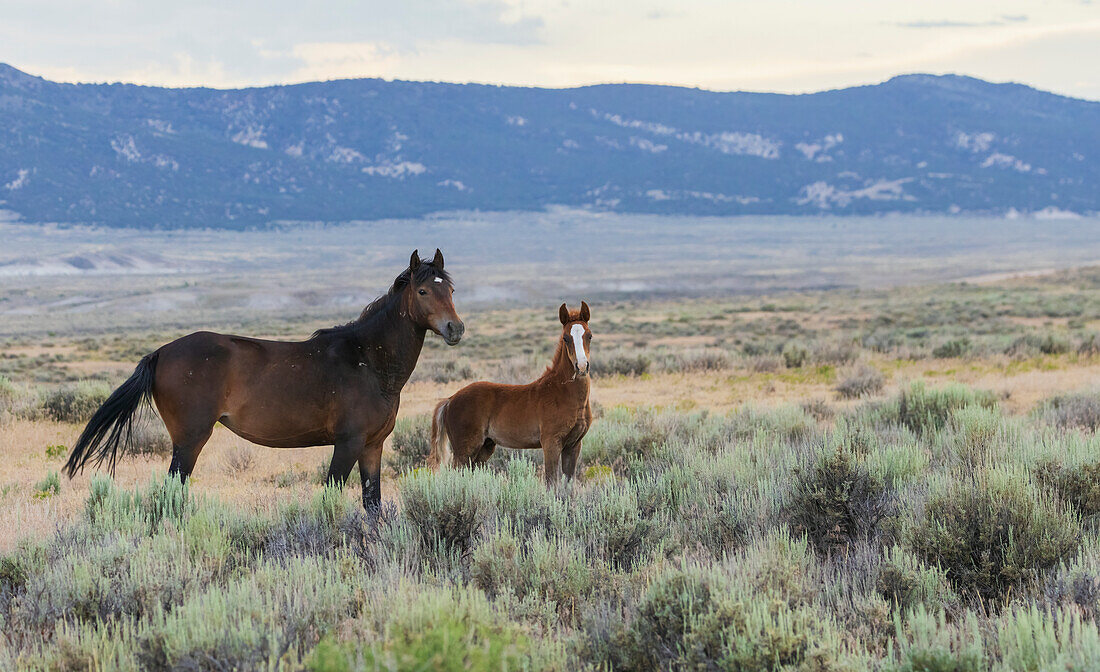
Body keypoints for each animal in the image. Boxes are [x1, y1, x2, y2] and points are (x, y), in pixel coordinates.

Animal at [65, 248, 459, 510]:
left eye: (451, 291)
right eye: (423, 291)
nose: (455, 328)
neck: (368, 361)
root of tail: (160, 353)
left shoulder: (372, 446)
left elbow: (372, 504)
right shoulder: (347, 443)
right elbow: (331, 495)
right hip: (190, 440)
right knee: (173, 491)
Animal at [429, 301, 594, 483]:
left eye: (589, 336)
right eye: (566, 338)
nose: (581, 366)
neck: (563, 392)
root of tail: (450, 399)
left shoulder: (573, 446)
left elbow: (568, 483)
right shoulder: (551, 443)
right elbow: (551, 482)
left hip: (485, 447)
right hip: (464, 450)